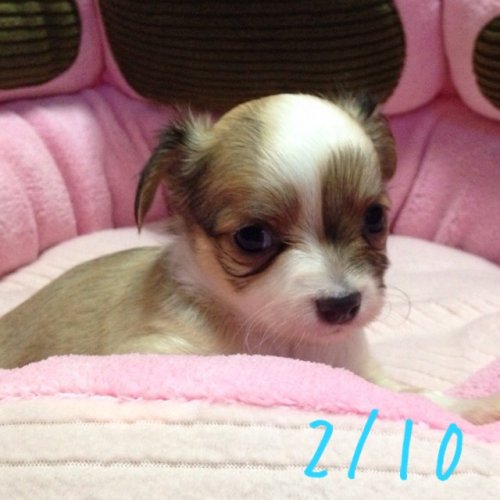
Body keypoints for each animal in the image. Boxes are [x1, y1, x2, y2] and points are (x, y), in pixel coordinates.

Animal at [0, 94, 498, 424]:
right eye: (252, 238)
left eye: (375, 218)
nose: (342, 306)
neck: (282, 339)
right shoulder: (156, 351)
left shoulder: (357, 368)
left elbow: (415, 395)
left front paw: (471, 407)